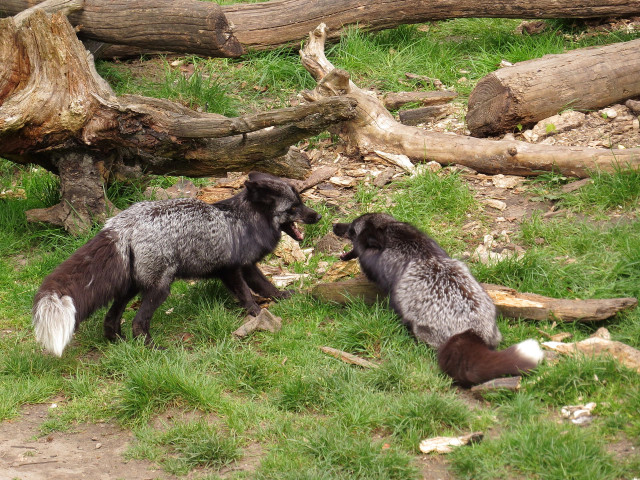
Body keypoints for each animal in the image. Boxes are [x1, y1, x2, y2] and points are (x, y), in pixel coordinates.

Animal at [31, 172, 320, 356]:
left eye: (301, 202)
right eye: (294, 208)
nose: (317, 216)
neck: (244, 220)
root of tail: (122, 224)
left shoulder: (233, 270)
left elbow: (264, 287)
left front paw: (281, 297)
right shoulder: (237, 268)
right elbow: (251, 292)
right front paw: (258, 313)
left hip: (132, 287)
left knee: (111, 320)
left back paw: (121, 345)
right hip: (160, 288)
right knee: (138, 323)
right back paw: (152, 350)